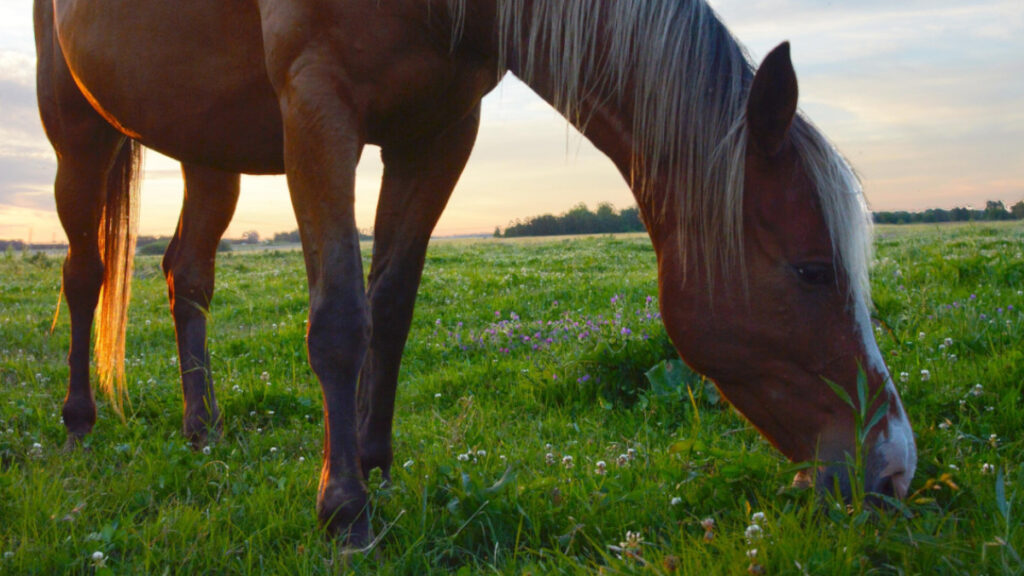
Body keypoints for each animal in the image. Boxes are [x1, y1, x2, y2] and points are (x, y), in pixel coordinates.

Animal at [35, 0, 916, 546]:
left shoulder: (438, 133)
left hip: (206, 146)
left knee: (187, 276)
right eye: (812, 270)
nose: (894, 470)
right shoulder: (318, 112)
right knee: (85, 274)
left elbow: (391, 306)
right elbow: (340, 318)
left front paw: (374, 465)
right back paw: (79, 427)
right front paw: (344, 509)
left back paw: (204, 430)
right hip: (75, 131)